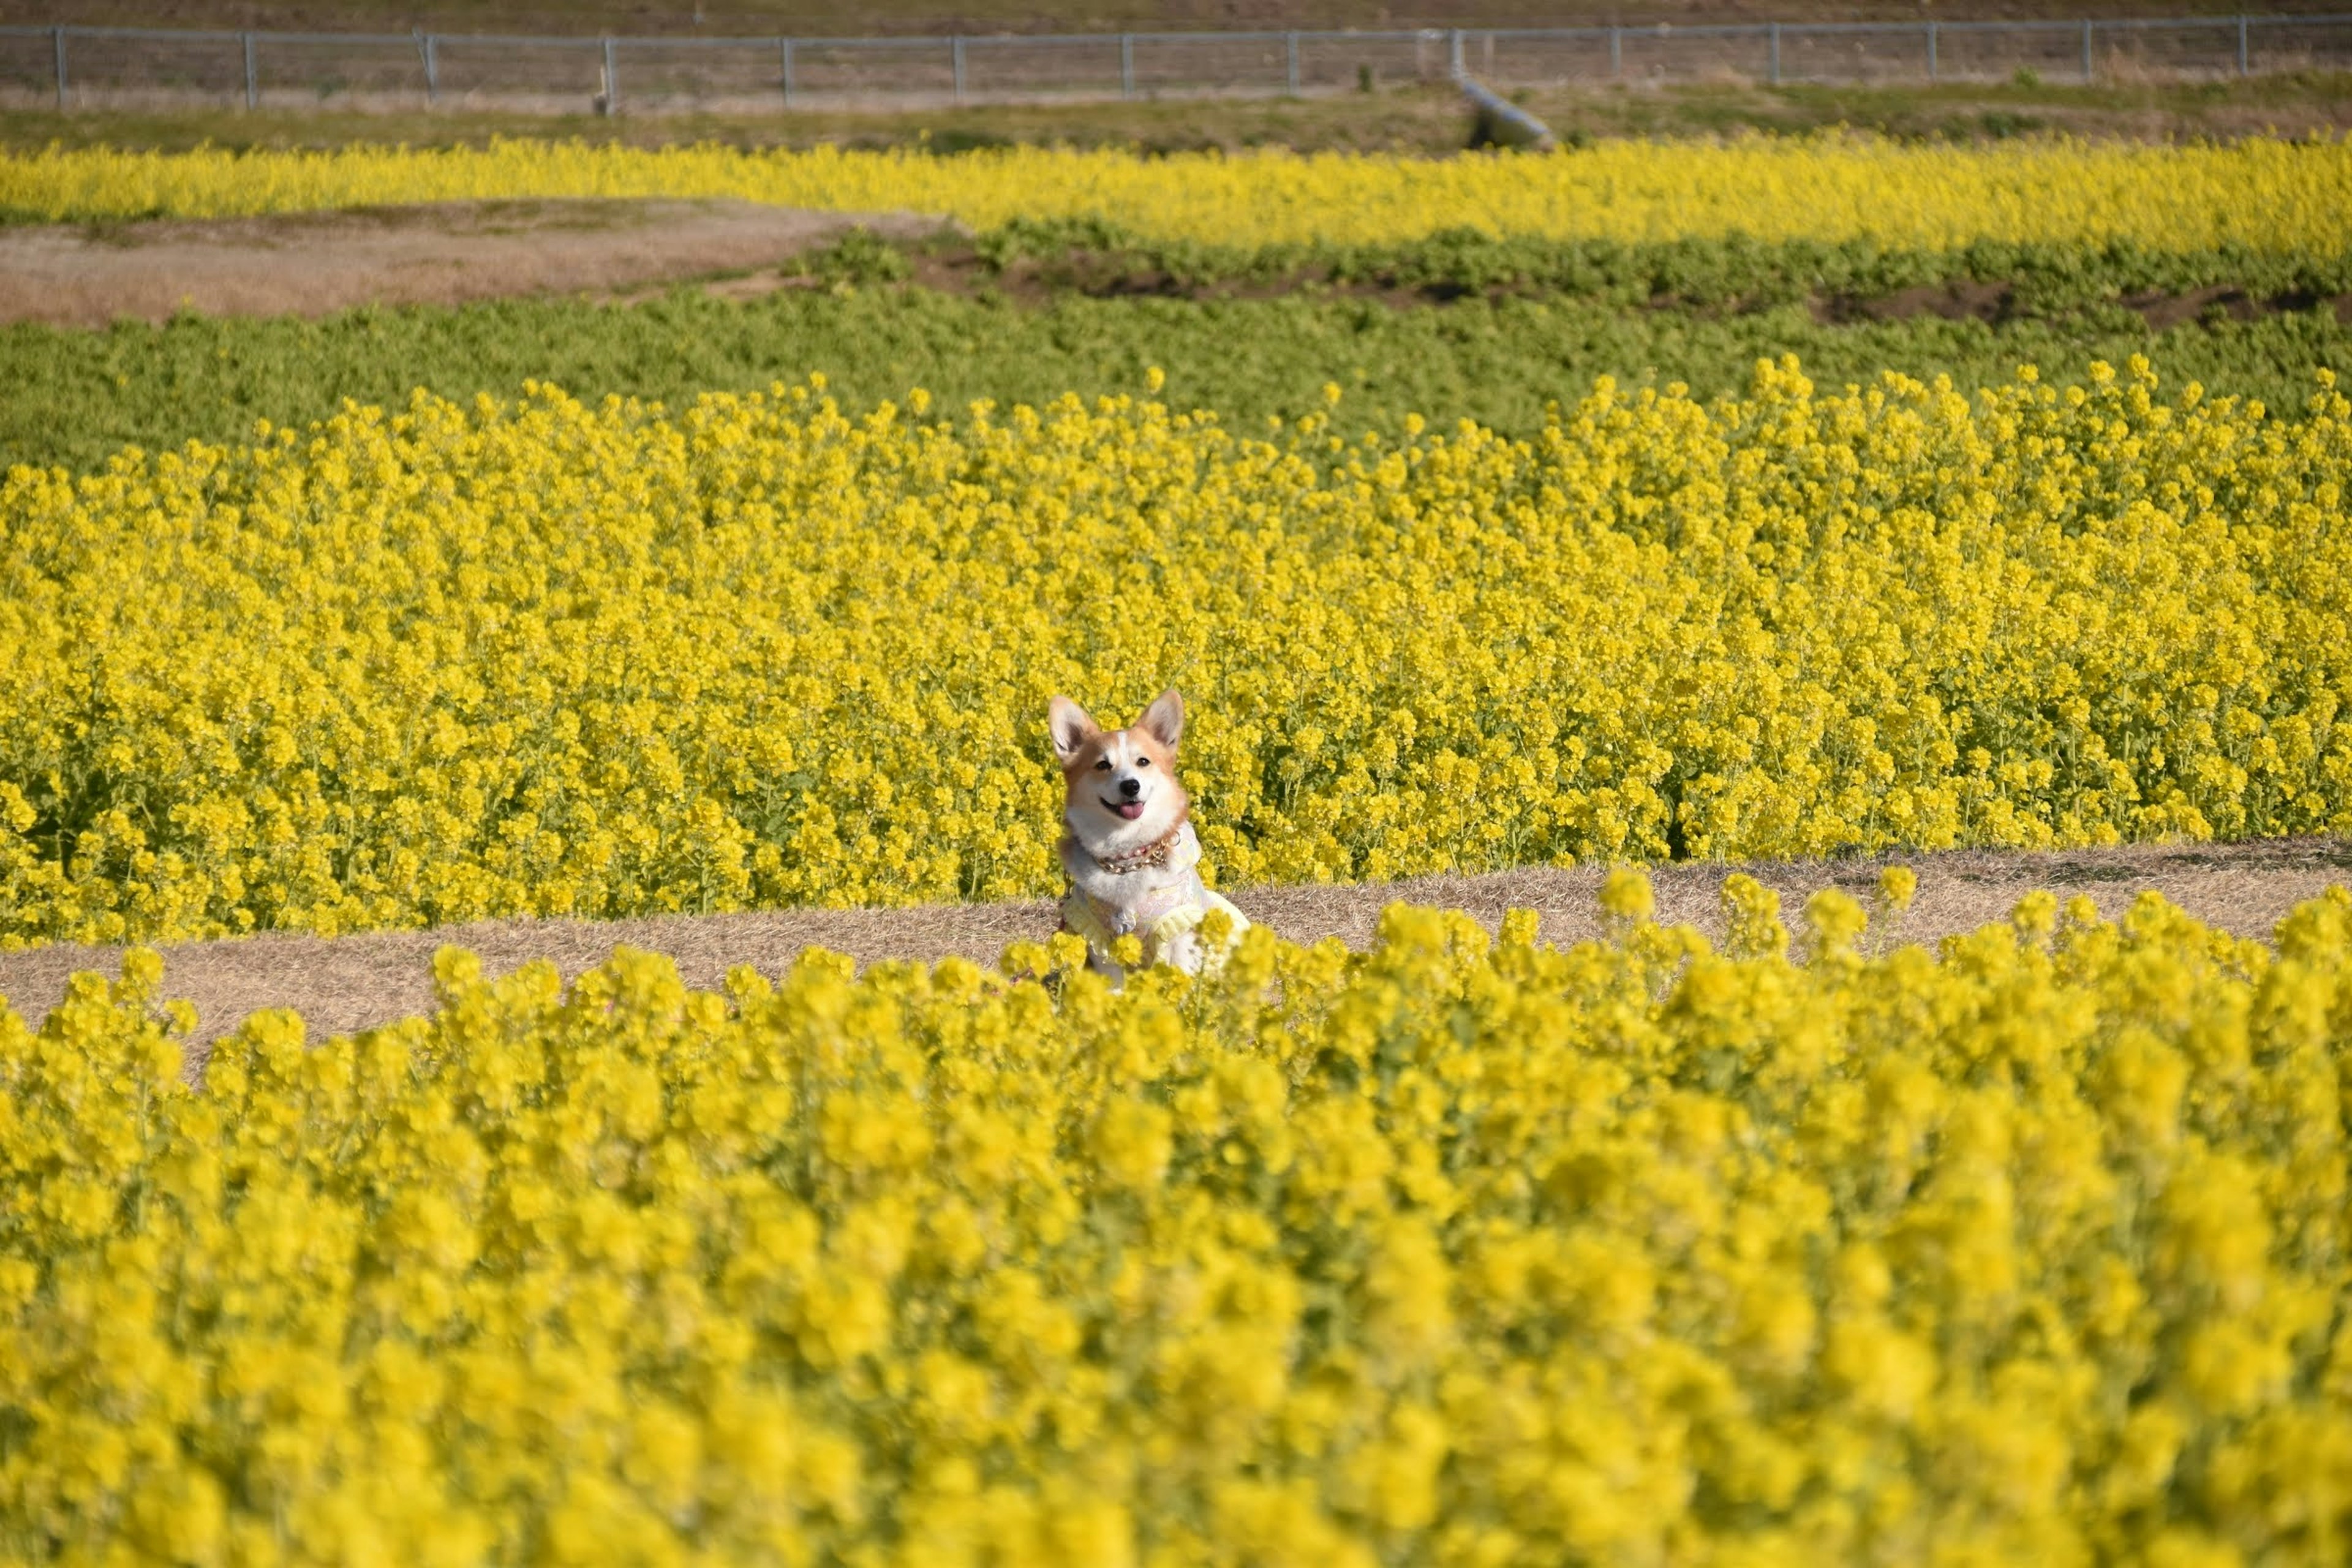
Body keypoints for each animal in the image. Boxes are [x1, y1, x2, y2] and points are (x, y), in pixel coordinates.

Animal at [1049, 691, 1251, 982]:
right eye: (1102, 765)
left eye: (1143, 762)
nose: (1131, 785)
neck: (1128, 858)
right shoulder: (1100, 938)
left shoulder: (1178, 929)